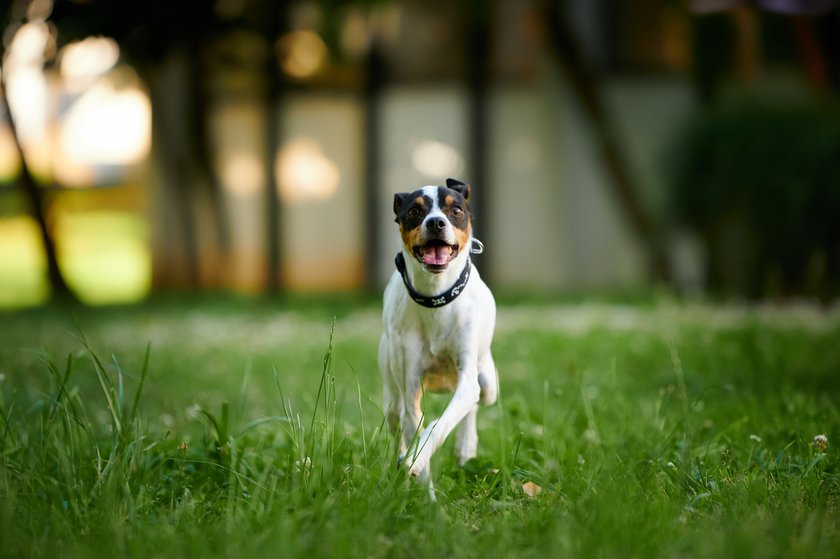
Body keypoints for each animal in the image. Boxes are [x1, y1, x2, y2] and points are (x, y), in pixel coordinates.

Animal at [380, 176, 498, 494]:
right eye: (413, 211)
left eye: (455, 210)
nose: (435, 222)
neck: (436, 298)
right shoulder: (410, 388)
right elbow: (416, 426)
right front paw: (424, 487)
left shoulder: (468, 378)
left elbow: (437, 426)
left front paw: (420, 460)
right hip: (391, 393)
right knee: (396, 425)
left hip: (487, 381)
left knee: (475, 403)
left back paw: (466, 447)